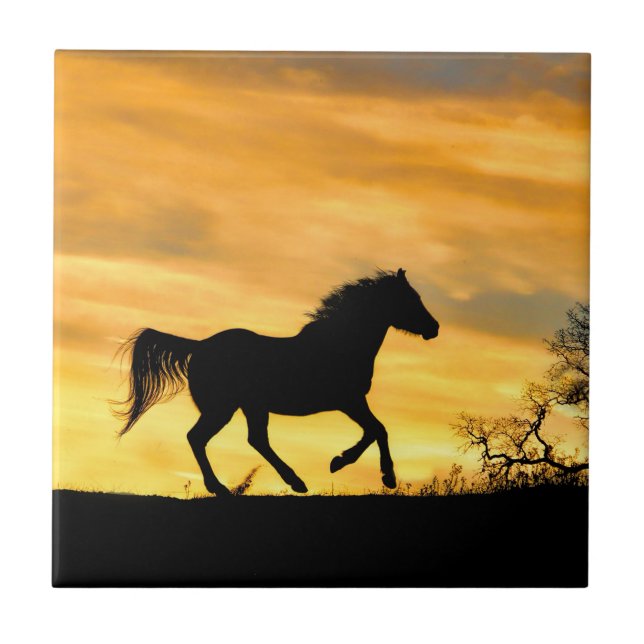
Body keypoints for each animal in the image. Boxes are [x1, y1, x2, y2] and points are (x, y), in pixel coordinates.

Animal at [113, 268, 439, 496]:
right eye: (411, 299)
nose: (434, 328)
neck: (341, 343)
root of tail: (199, 346)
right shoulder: (349, 401)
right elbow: (377, 430)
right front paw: (370, 471)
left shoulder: (352, 402)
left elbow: (376, 430)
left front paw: (347, 463)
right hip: (223, 408)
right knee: (199, 437)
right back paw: (225, 487)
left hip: (250, 407)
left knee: (254, 439)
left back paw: (293, 482)